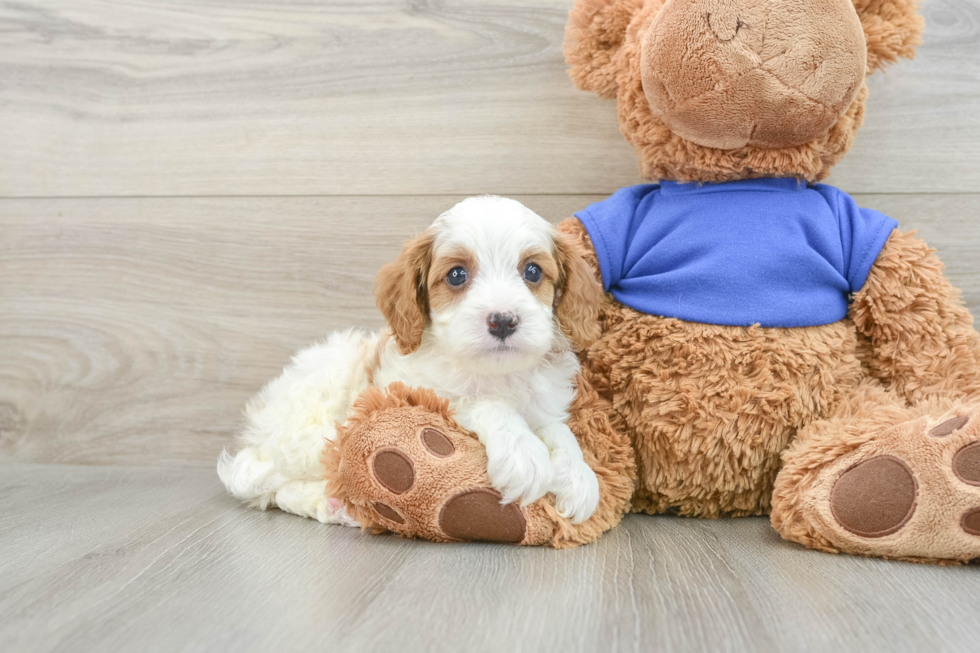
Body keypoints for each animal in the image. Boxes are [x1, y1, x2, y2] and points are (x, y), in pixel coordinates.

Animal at [220, 195, 604, 524]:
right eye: (457, 275)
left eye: (533, 272)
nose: (503, 320)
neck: (496, 372)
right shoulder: (414, 391)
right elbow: (484, 403)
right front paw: (522, 451)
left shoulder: (543, 403)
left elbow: (557, 429)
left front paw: (578, 475)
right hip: (312, 431)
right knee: (276, 487)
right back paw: (331, 505)